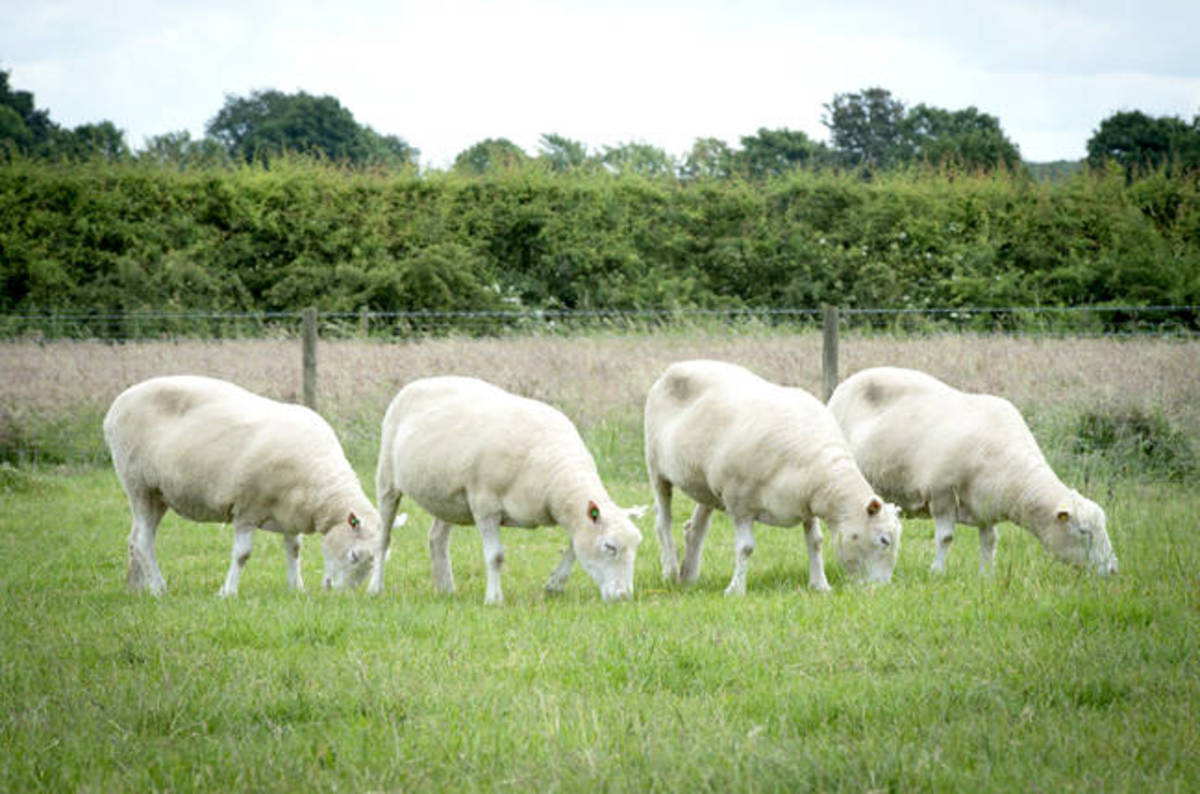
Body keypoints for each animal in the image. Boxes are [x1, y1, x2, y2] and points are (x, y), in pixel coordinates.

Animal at [104, 375, 381, 596]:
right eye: (354, 556)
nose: (342, 595)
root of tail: (116, 406)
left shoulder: (290, 513)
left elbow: (294, 550)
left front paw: (296, 588)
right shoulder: (247, 509)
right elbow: (242, 555)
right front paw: (228, 592)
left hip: (159, 495)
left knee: (135, 538)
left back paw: (137, 587)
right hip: (138, 485)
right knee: (143, 541)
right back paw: (158, 587)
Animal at [373, 376, 643, 604]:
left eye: (636, 546)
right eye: (610, 547)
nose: (623, 597)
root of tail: (420, 382)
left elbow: (574, 548)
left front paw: (554, 585)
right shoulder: (485, 505)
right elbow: (496, 556)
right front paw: (494, 599)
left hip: (447, 497)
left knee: (437, 538)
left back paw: (446, 589)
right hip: (387, 478)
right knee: (384, 538)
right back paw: (376, 588)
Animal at [644, 360, 902, 595]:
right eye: (884, 540)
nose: (880, 588)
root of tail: (675, 367)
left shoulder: (806, 503)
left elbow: (816, 542)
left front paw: (820, 585)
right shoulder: (738, 502)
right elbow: (746, 548)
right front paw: (736, 590)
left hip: (707, 488)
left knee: (695, 528)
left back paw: (688, 576)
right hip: (656, 466)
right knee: (663, 521)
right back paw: (670, 571)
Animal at [827, 366, 1117, 575]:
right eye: (1084, 532)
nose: (1112, 570)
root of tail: (846, 383)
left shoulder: (986, 505)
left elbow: (990, 542)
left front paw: (986, 575)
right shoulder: (942, 494)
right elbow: (945, 538)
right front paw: (938, 571)